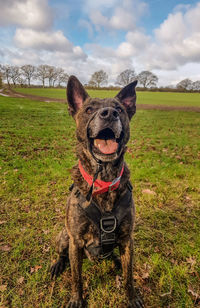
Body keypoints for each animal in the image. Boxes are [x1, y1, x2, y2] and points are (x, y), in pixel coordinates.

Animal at [50, 75, 143, 308]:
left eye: (119, 109)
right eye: (89, 109)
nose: (109, 114)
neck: (104, 180)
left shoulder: (127, 239)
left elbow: (128, 276)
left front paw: (132, 298)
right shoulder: (75, 241)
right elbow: (77, 277)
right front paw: (77, 299)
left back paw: (116, 260)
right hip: (63, 236)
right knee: (62, 254)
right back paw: (57, 265)